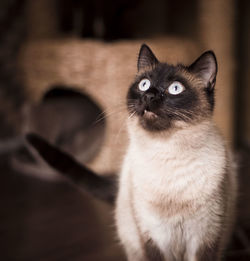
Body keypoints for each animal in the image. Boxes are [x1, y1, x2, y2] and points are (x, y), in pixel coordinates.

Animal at [25, 45, 236, 260]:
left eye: (175, 88)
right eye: (144, 84)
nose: (149, 95)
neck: (166, 152)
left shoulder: (204, 238)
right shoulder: (153, 235)